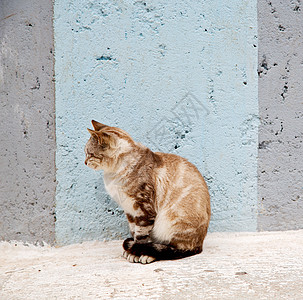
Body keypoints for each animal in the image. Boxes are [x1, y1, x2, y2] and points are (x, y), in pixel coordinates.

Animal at [85, 118, 211, 264]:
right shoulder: (130, 211)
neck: (113, 174)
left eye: (89, 154)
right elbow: (134, 232)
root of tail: (200, 244)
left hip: (170, 221)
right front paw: (132, 251)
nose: (85, 162)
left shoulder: (144, 210)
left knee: (173, 249)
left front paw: (136, 253)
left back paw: (149, 255)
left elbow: (141, 237)